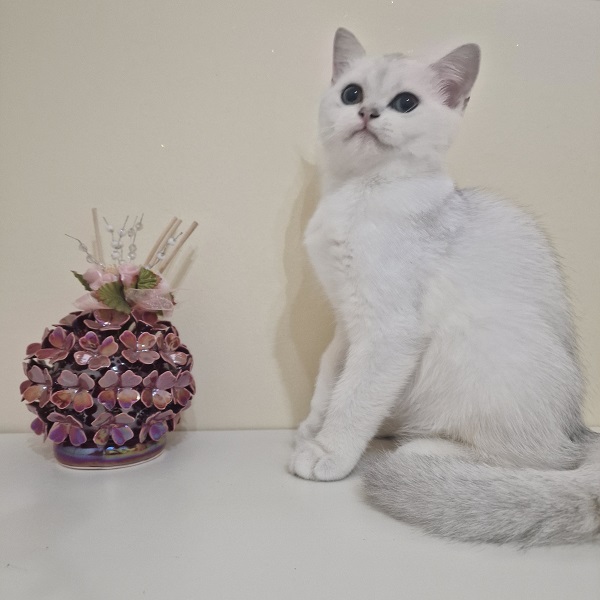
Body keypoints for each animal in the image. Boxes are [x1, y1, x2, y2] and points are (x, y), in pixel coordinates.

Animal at [289, 28, 600, 546]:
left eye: (405, 102)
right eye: (351, 93)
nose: (368, 111)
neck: (358, 194)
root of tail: (577, 428)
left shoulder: (388, 331)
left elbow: (354, 398)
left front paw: (329, 451)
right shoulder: (346, 323)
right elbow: (329, 376)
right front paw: (312, 427)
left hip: (474, 340)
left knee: (550, 458)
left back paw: (423, 449)